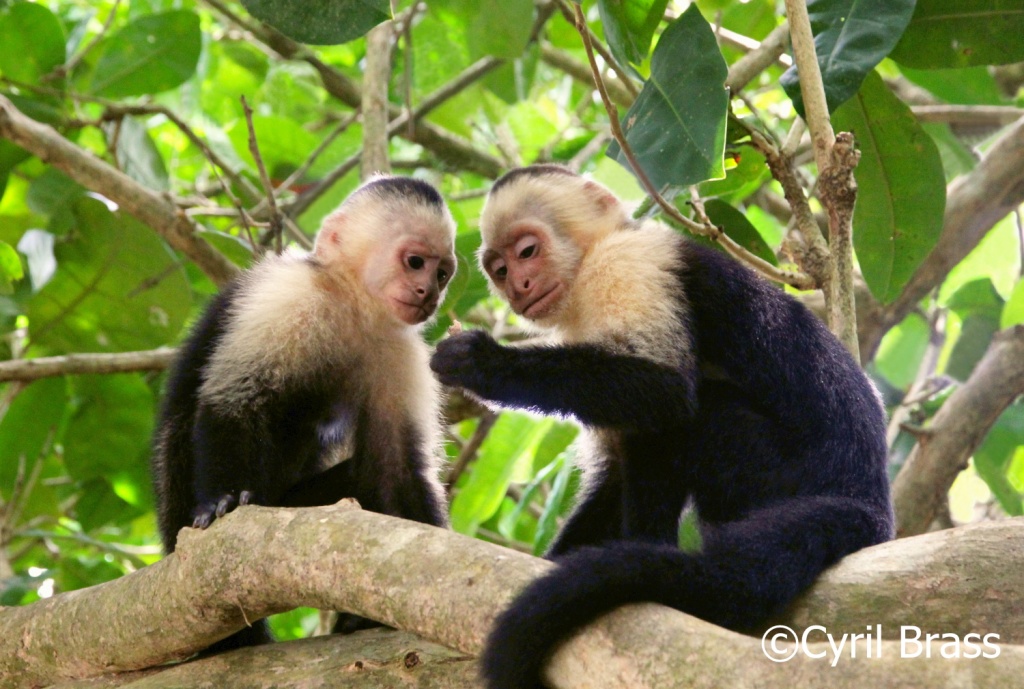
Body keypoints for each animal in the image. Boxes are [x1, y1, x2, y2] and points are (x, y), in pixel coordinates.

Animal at [151, 175, 456, 651]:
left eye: (442, 273)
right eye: (415, 262)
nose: (430, 293)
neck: (350, 303)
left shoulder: (398, 349)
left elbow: (395, 467)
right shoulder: (289, 294)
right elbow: (234, 398)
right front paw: (225, 500)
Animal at [428, 164, 892, 687]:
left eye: (527, 252)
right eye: (500, 270)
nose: (519, 286)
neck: (589, 262)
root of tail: (870, 500)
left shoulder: (629, 265)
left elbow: (666, 393)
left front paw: (485, 363)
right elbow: (613, 472)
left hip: (782, 475)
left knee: (690, 418)